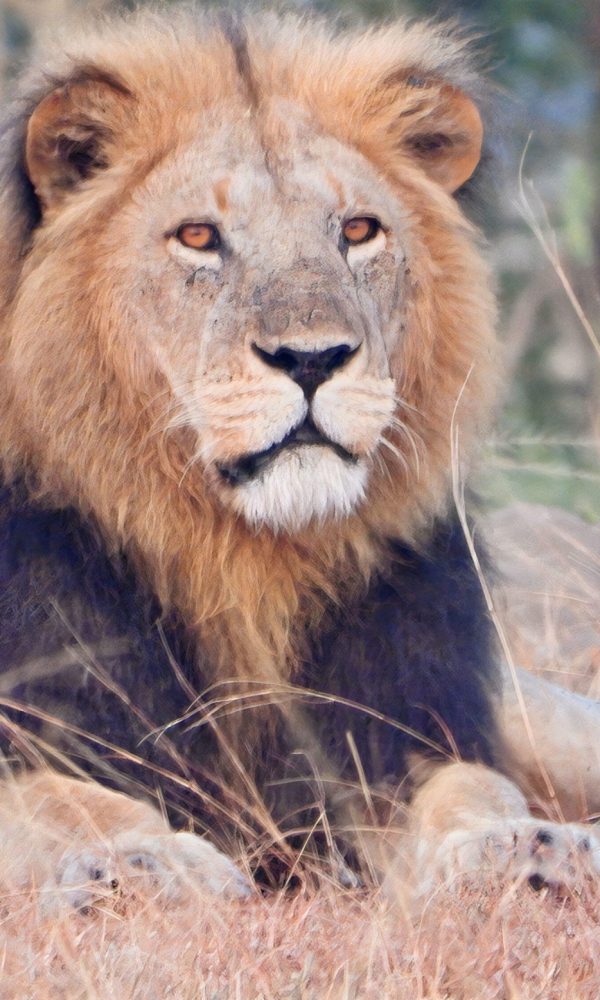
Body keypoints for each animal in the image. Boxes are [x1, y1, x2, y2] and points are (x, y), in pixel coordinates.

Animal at [0, 6, 599, 909]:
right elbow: (61, 801)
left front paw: (521, 848)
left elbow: (470, 785)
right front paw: (146, 864)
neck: (244, 562)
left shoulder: (394, 729)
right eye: (199, 237)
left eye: (358, 230)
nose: (312, 359)